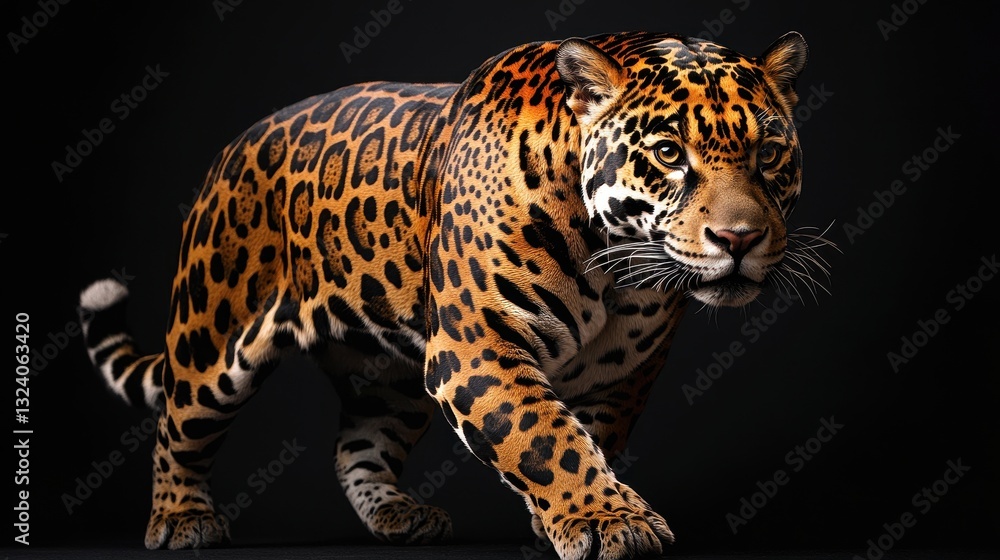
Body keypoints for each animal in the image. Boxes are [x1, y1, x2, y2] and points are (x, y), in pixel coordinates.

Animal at [79, 30, 816, 560]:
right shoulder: (479, 348)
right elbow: (545, 435)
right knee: (178, 423)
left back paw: (397, 514)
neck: (616, 265)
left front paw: (570, 518)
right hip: (213, 332)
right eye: (667, 154)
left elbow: (587, 437)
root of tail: (232, 148)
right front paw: (611, 522)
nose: (739, 238)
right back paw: (180, 520)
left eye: (768, 155)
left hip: (390, 376)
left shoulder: (622, 374)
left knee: (357, 445)